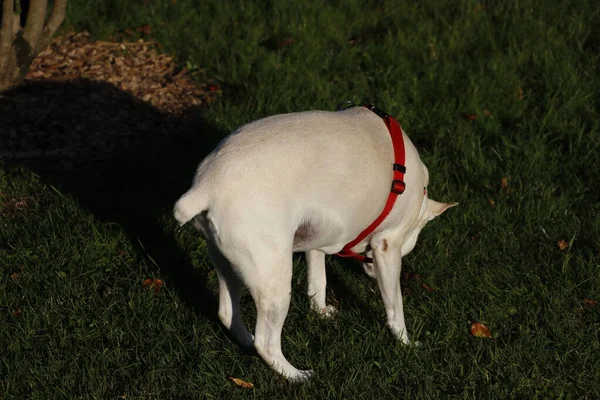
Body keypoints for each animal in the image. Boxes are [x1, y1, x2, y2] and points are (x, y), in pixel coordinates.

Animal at [173, 105, 454, 382]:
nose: (371, 271)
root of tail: (205, 187)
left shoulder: (319, 237)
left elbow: (318, 279)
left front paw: (320, 311)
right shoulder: (388, 246)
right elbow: (395, 305)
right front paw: (406, 342)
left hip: (228, 265)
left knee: (227, 313)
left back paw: (247, 343)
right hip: (274, 285)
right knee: (266, 342)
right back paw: (295, 375)